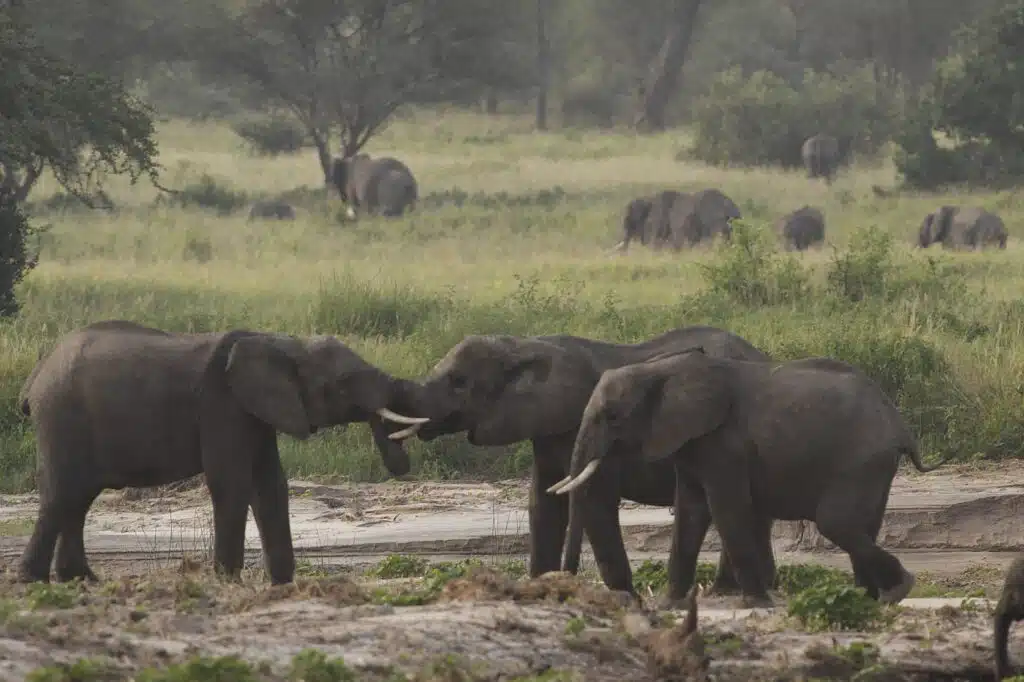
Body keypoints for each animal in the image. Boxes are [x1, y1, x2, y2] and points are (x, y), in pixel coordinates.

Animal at [16, 320, 429, 585]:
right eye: (344, 383)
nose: (400, 463)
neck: (284, 343)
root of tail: (35, 374)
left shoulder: (256, 413)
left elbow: (270, 485)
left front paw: (282, 584)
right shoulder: (222, 404)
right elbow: (232, 482)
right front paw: (229, 581)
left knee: (78, 498)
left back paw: (80, 580)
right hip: (62, 416)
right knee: (62, 494)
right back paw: (32, 581)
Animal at [385, 326, 772, 597]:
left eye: (459, 382)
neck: (521, 345)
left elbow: (595, 503)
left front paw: (625, 600)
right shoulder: (546, 427)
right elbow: (544, 504)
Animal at [552, 348, 943, 607]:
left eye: (612, 416)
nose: (565, 583)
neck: (660, 369)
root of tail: (902, 427)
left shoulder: (724, 444)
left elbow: (725, 508)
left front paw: (756, 604)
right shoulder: (691, 442)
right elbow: (690, 512)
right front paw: (669, 607)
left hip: (861, 461)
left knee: (836, 523)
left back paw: (898, 590)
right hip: (874, 465)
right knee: (859, 526)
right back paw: (872, 599)